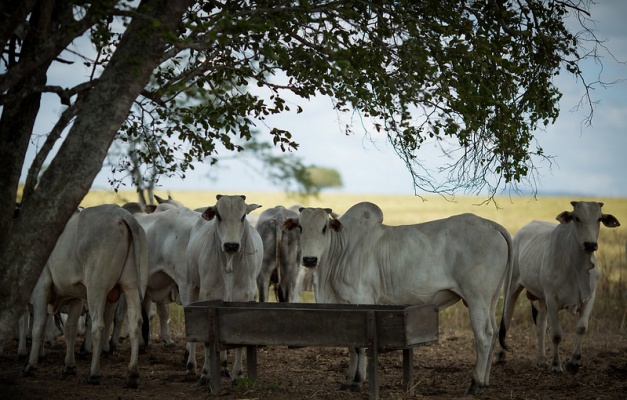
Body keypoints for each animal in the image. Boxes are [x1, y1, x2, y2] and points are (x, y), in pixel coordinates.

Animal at [20, 203, 148, 388]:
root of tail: (123, 215)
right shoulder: (75, 298)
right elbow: (70, 329)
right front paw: (69, 366)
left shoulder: (40, 289)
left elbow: (39, 326)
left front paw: (30, 366)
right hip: (131, 286)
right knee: (135, 323)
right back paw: (132, 374)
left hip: (97, 288)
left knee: (98, 326)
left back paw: (94, 373)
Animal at [184, 195, 262, 386]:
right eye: (218, 215)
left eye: (243, 216)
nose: (231, 245)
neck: (229, 264)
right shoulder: (207, 298)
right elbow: (206, 340)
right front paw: (205, 374)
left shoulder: (243, 300)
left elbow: (239, 339)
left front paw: (238, 375)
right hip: (190, 286)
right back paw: (191, 367)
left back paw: (224, 366)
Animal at [282, 202, 512, 396]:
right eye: (300, 227)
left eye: (324, 228)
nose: (309, 259)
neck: (341, 252)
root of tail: (490, 224)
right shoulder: (344, 308)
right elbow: (350, 344)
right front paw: (348, 380)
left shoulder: (363, 300)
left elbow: (359, 346)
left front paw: (358, 381)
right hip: (491, 299)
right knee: (493, 333)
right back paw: (485, 382)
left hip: (477, 298)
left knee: (483, 336)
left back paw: (475, 384)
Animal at [498, 202, 620, 374]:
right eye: (576, 218)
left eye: (599, 219)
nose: (590, 244)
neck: (576, 267)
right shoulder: (552, 299)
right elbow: (556, 335)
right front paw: (556, 365)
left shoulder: (589, 297)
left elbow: (582, 328)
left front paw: (573, 362)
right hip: (512, 287)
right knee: (507, 319)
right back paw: (500, 356)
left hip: (542, 298)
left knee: (541, 326)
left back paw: (541, 360)